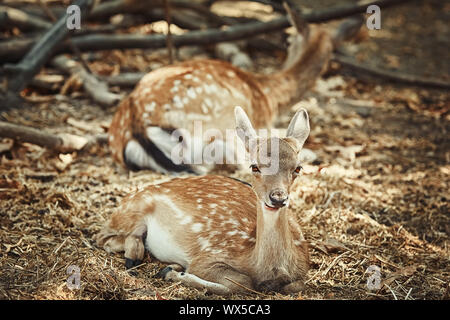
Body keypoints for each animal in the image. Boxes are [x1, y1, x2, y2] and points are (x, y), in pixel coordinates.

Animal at [96, 107, 312, 296]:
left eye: (298, 168)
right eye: (254, 166)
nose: (277, 198)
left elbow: (296, 285)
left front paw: (172, 270)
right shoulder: (206, 257)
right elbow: (241, 282)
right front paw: (171, 273)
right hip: (133, 209)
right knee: (103, 237)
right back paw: (135, 257)